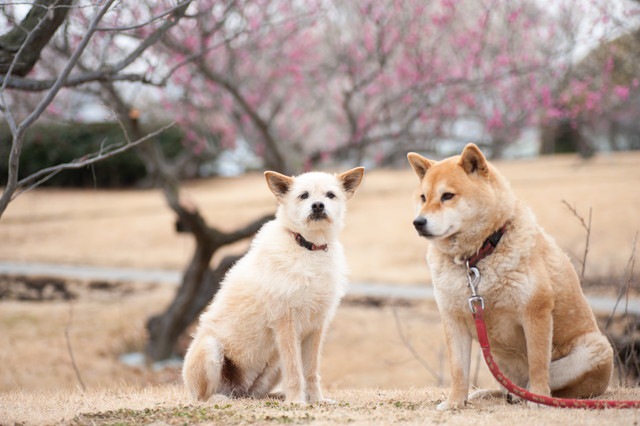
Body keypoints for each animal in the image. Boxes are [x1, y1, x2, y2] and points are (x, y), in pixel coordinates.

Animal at [182, 166, 364, 402]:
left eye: (330, 195)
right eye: (304, 195)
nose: (318, 206)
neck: (307, 247)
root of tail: (238, 390)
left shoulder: (316, 326)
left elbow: (311, 371)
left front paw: (316, 400)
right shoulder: (285, 323)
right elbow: (295, 370)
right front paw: (297, 402)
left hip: (270, 368)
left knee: (255, 394)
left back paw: (276, 396)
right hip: (210, 349)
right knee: (202, 397)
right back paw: (218, 399)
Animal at [408, 144, 612, 410]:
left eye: (447, 196)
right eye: (423, 198)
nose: (418, 222)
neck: (476, 257)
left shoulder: (535, 312)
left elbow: (537, 364)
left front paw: (538, 399)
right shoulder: (454, 319)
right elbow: (459, 370)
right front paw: (454, 403)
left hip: (592, 350)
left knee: (546, 383)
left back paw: (536, 396)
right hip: (498, 361)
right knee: (508, 388)